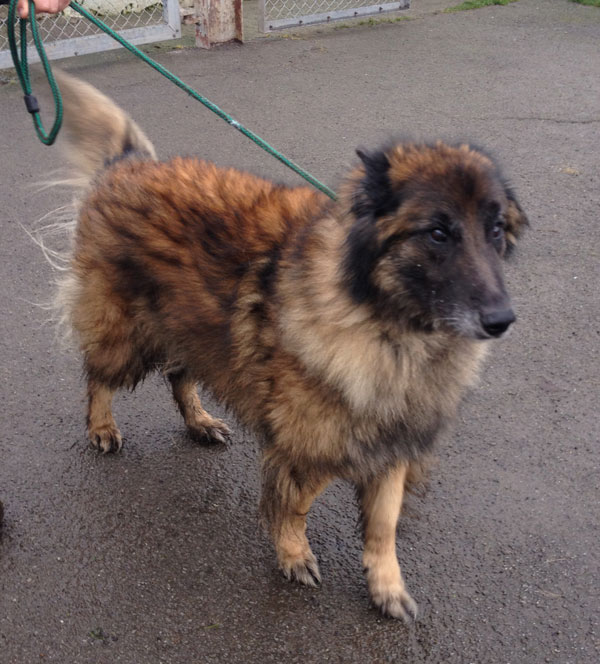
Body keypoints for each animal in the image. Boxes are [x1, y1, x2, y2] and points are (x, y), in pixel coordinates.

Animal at [48, 72, 524, 624]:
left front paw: (386, 585)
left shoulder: (391, 441)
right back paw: (102, 427)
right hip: (126, 332)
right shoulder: (306, 444)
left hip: (191, 328)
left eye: (495, 229)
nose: (501, 321)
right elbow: (296, 505)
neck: (387, 323)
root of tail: (127, 163)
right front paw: (293, 554)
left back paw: (199, 421)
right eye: (439, 232)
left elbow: (382, 524)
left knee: (179, 375)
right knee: (98, 375)